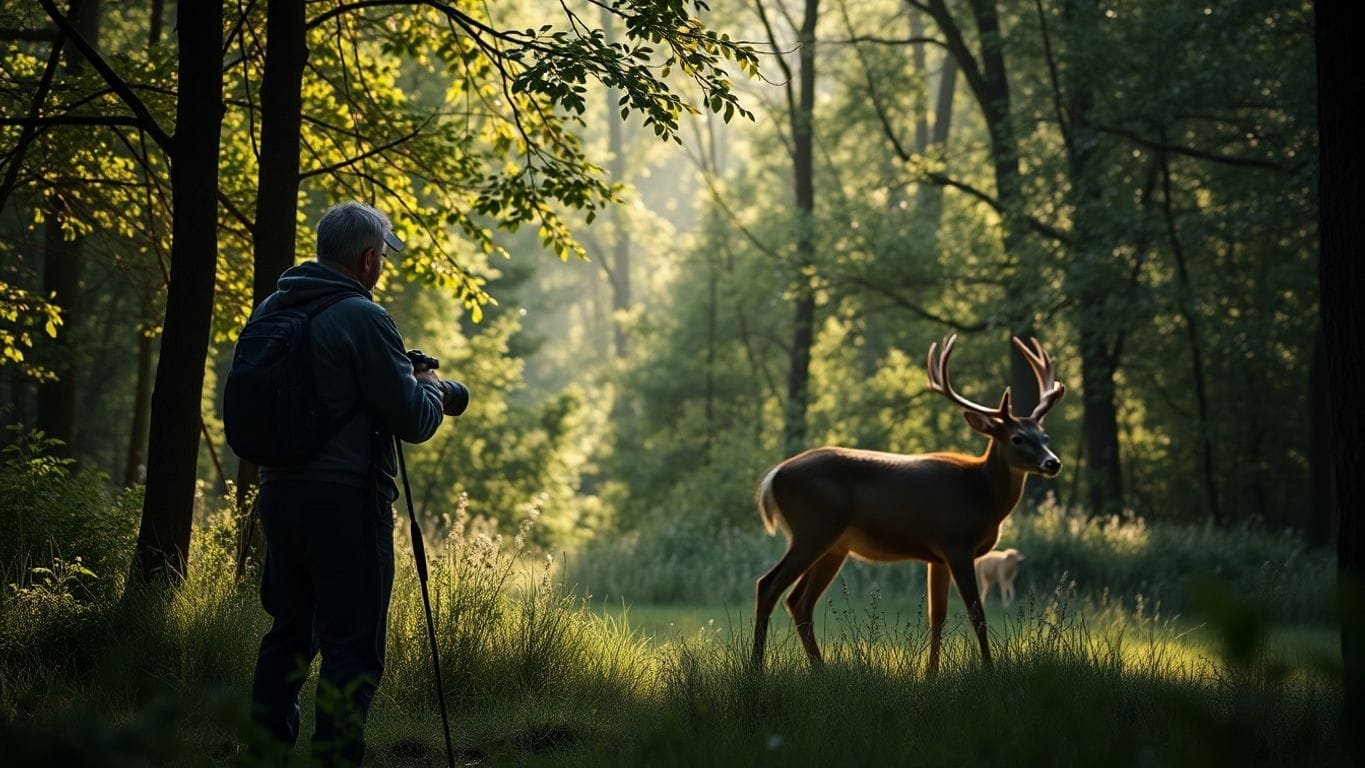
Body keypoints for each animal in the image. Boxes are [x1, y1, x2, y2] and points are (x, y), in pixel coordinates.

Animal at [753, 335, 1059, 673]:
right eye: (1018, 438)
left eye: (1044, 436)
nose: (1053, 463)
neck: (982, 495)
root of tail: (773, 477)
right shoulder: (956, 542)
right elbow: (976, 613)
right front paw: (989, 670)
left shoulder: (938, 556)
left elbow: (937, 615)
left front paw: (931, 673)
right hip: (813, 528)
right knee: (769, 585)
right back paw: (756, 668)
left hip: (834, 545)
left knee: (799, 601)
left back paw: (819, 669)